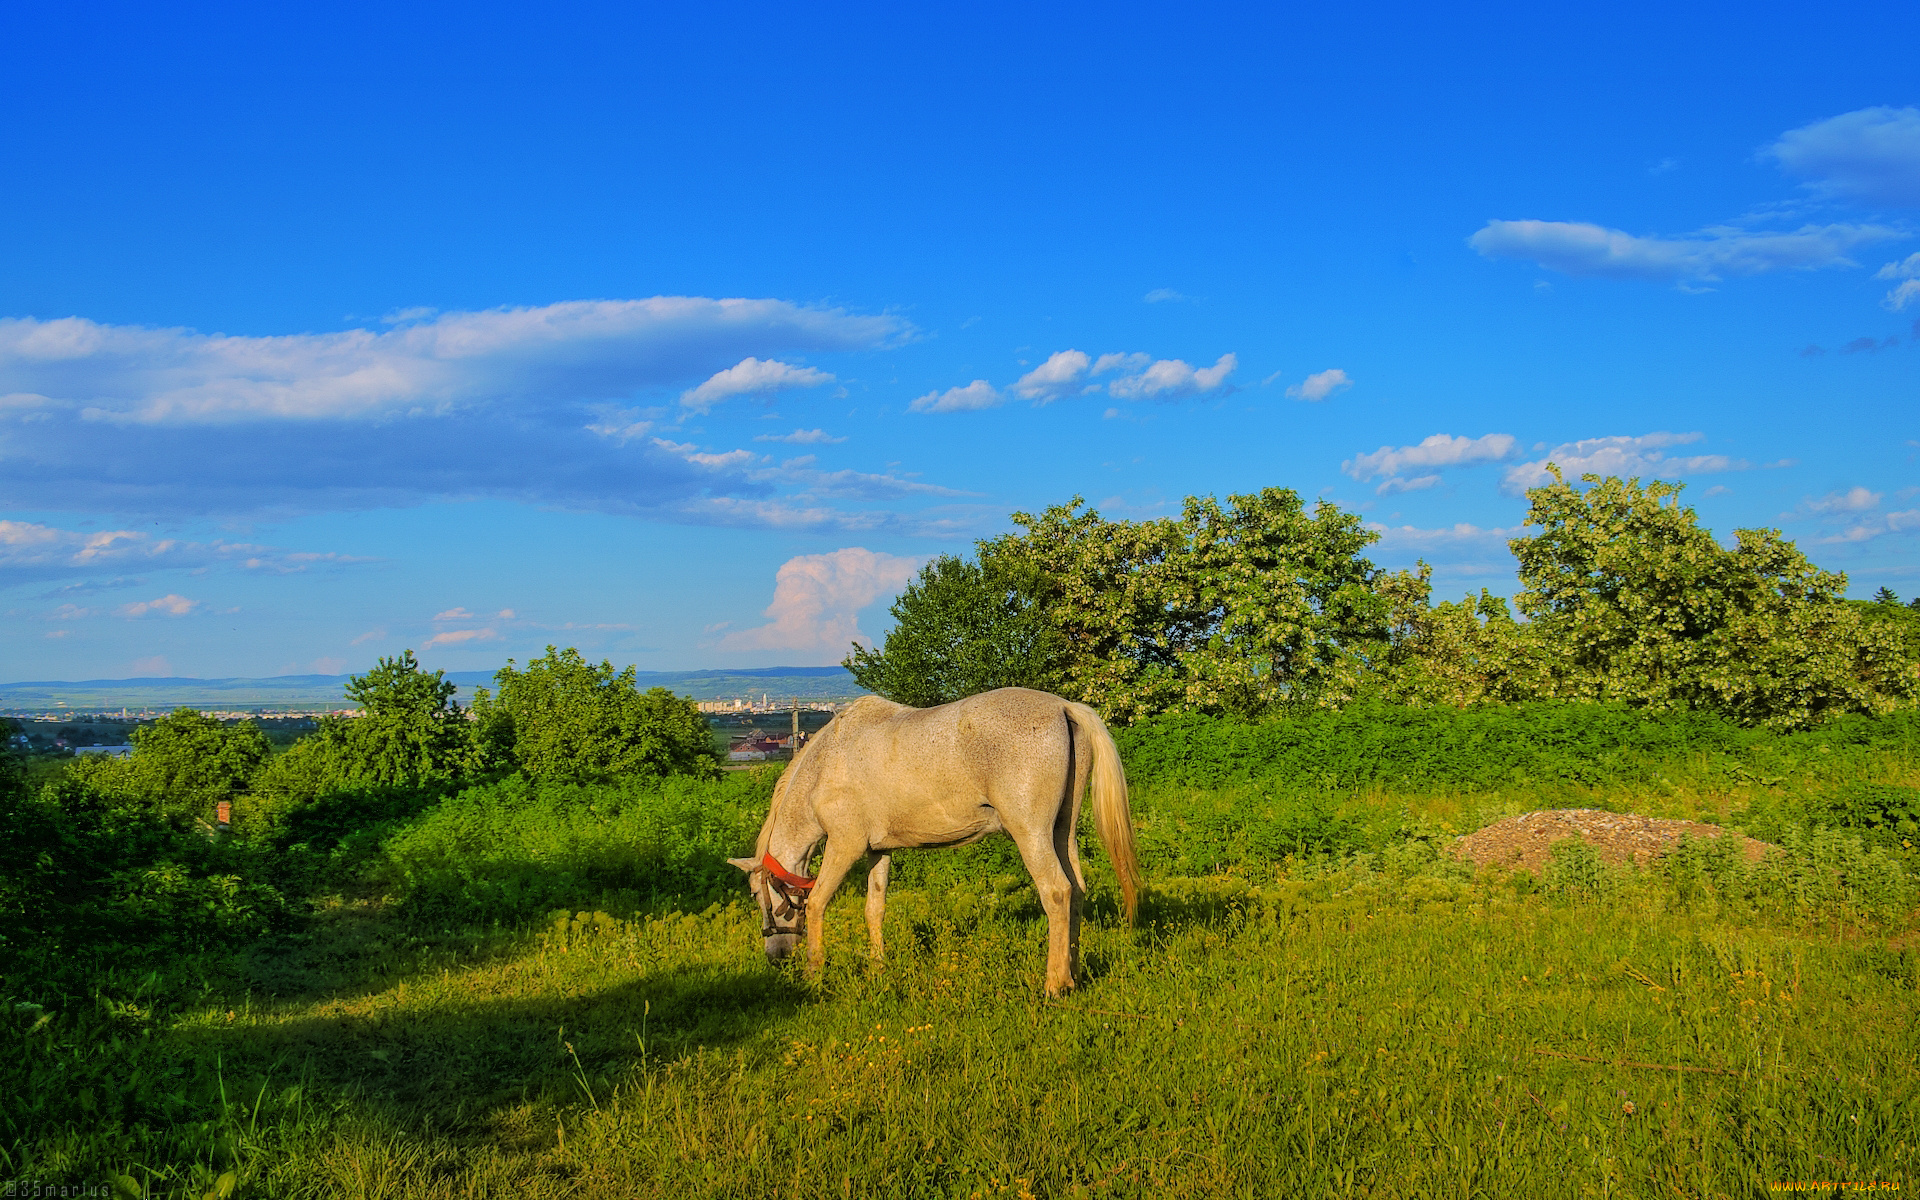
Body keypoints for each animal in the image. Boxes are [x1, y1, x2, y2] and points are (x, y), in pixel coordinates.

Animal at [721, 683, 1136, 990]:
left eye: (757, 894)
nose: (775, 957)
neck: (826, 764)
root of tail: (1064, 707)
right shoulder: (878, 851)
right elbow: (874, 908)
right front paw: (878, 967)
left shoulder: (844, 846)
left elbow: (818, 903)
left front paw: (813, 973)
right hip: (1062, 831)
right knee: (1077, 889)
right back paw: (1074, 973)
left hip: (1031, 833)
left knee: (1057, 892)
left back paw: (1056, 984)